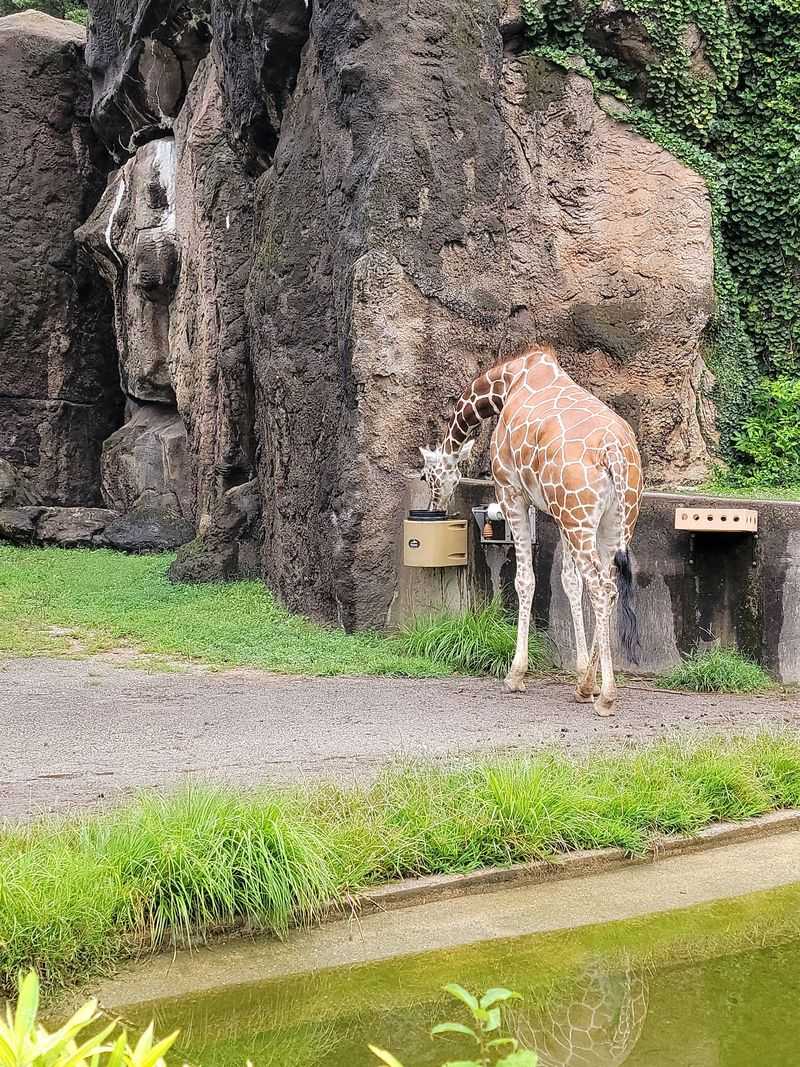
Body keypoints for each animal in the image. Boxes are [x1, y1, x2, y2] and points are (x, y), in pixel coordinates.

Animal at [419, 344, 643, 715]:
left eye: (427, 476)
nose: (434, 506)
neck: (507, 383)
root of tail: (614, 453)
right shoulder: (557, 512)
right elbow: (569, 582)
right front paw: (580, 671)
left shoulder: (511, 492)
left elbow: (525, 580)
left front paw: (515, 675)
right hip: (611, 521)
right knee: (610, 587)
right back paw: (586, 686)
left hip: (579, 517)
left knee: (600, 587)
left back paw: (606, 696)